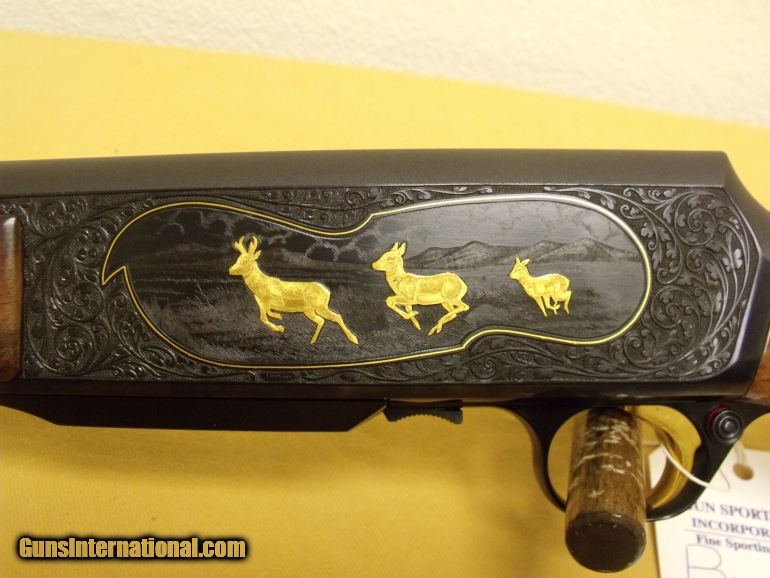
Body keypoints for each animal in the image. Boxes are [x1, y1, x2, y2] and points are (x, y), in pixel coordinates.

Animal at [229, 236, 358, 345]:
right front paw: (278, 323)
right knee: (322, 320)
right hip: (309, 310)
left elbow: (268, 310)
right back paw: (314, 340)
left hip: (319, 306)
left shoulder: (276, 298)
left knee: (335, 317)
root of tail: (327, 292)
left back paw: (353, 339)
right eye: (237, 259)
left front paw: (278, 319)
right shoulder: (259, 302)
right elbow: (263, 317)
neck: (260, 286)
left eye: (245, 261)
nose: (230, 270)